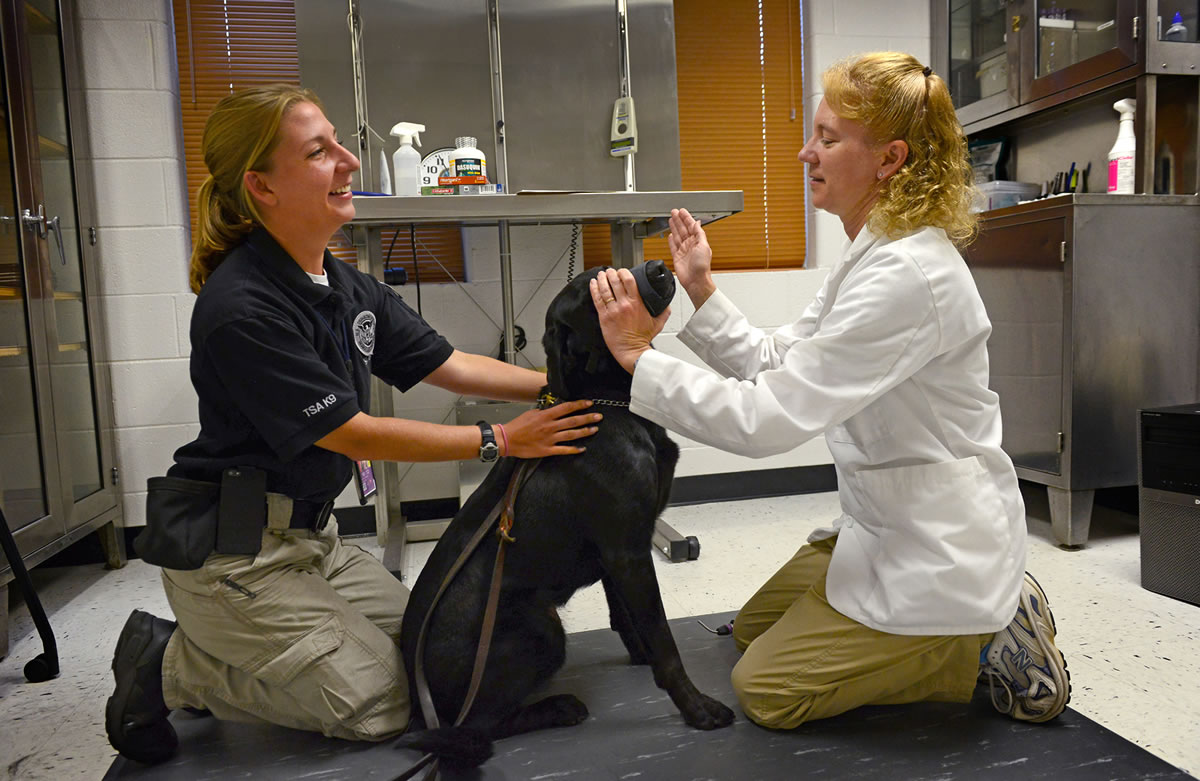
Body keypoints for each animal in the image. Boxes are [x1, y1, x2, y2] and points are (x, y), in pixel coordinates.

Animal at [396, 266, 729, 767]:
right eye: (601, 294)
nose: (657, 268)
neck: (608, 404)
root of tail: (419, 706)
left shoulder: (621, 552)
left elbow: (627, 617)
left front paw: (642, 658)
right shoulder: (627, 550)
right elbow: (664, 638)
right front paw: (696, 707)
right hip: (541, 628)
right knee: (480, 727)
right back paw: (559, 707)